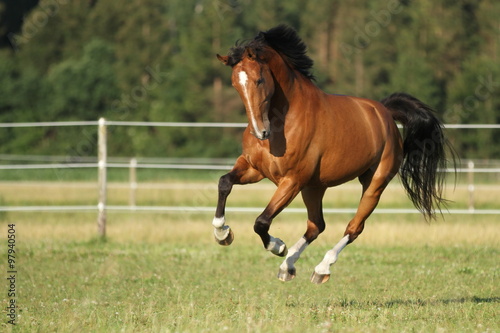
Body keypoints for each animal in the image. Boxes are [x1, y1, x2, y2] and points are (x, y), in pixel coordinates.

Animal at [211, 24, 454, 282]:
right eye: (235, 84)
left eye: (259, 80)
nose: (260, 132)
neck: (282, 122)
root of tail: (385, 113)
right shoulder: (254, 169)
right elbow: (224, 183)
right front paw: (223, 233)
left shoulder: (291, 181)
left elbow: (261, 221)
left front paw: (278, 246)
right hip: (314, 187)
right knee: (316, 225)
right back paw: (288, 267)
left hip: (373, 183)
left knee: (353, 227)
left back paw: (320, 269)